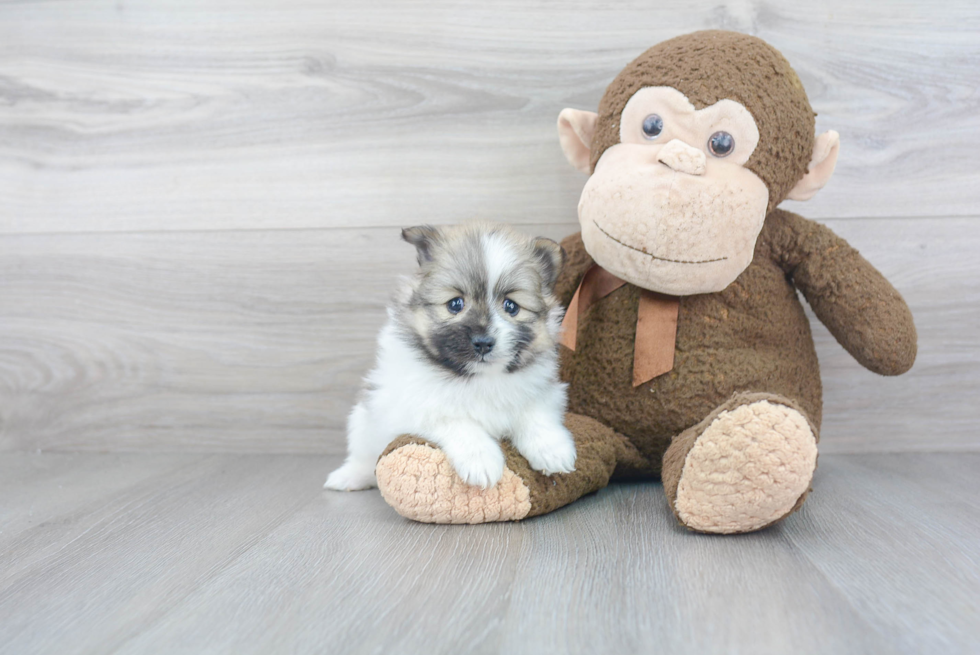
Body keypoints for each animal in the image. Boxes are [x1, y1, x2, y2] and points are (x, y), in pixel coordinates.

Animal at [326, 222, 580, 492]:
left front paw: (553, 450)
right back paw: (348, 477)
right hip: (362, 422)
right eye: (455, 304)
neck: (480, 378)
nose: (483, 342)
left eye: (511, 306)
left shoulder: (541, 390)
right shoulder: (419, 408)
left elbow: (536, 415)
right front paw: (481, 461)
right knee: (364, 459)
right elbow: (460, 423)